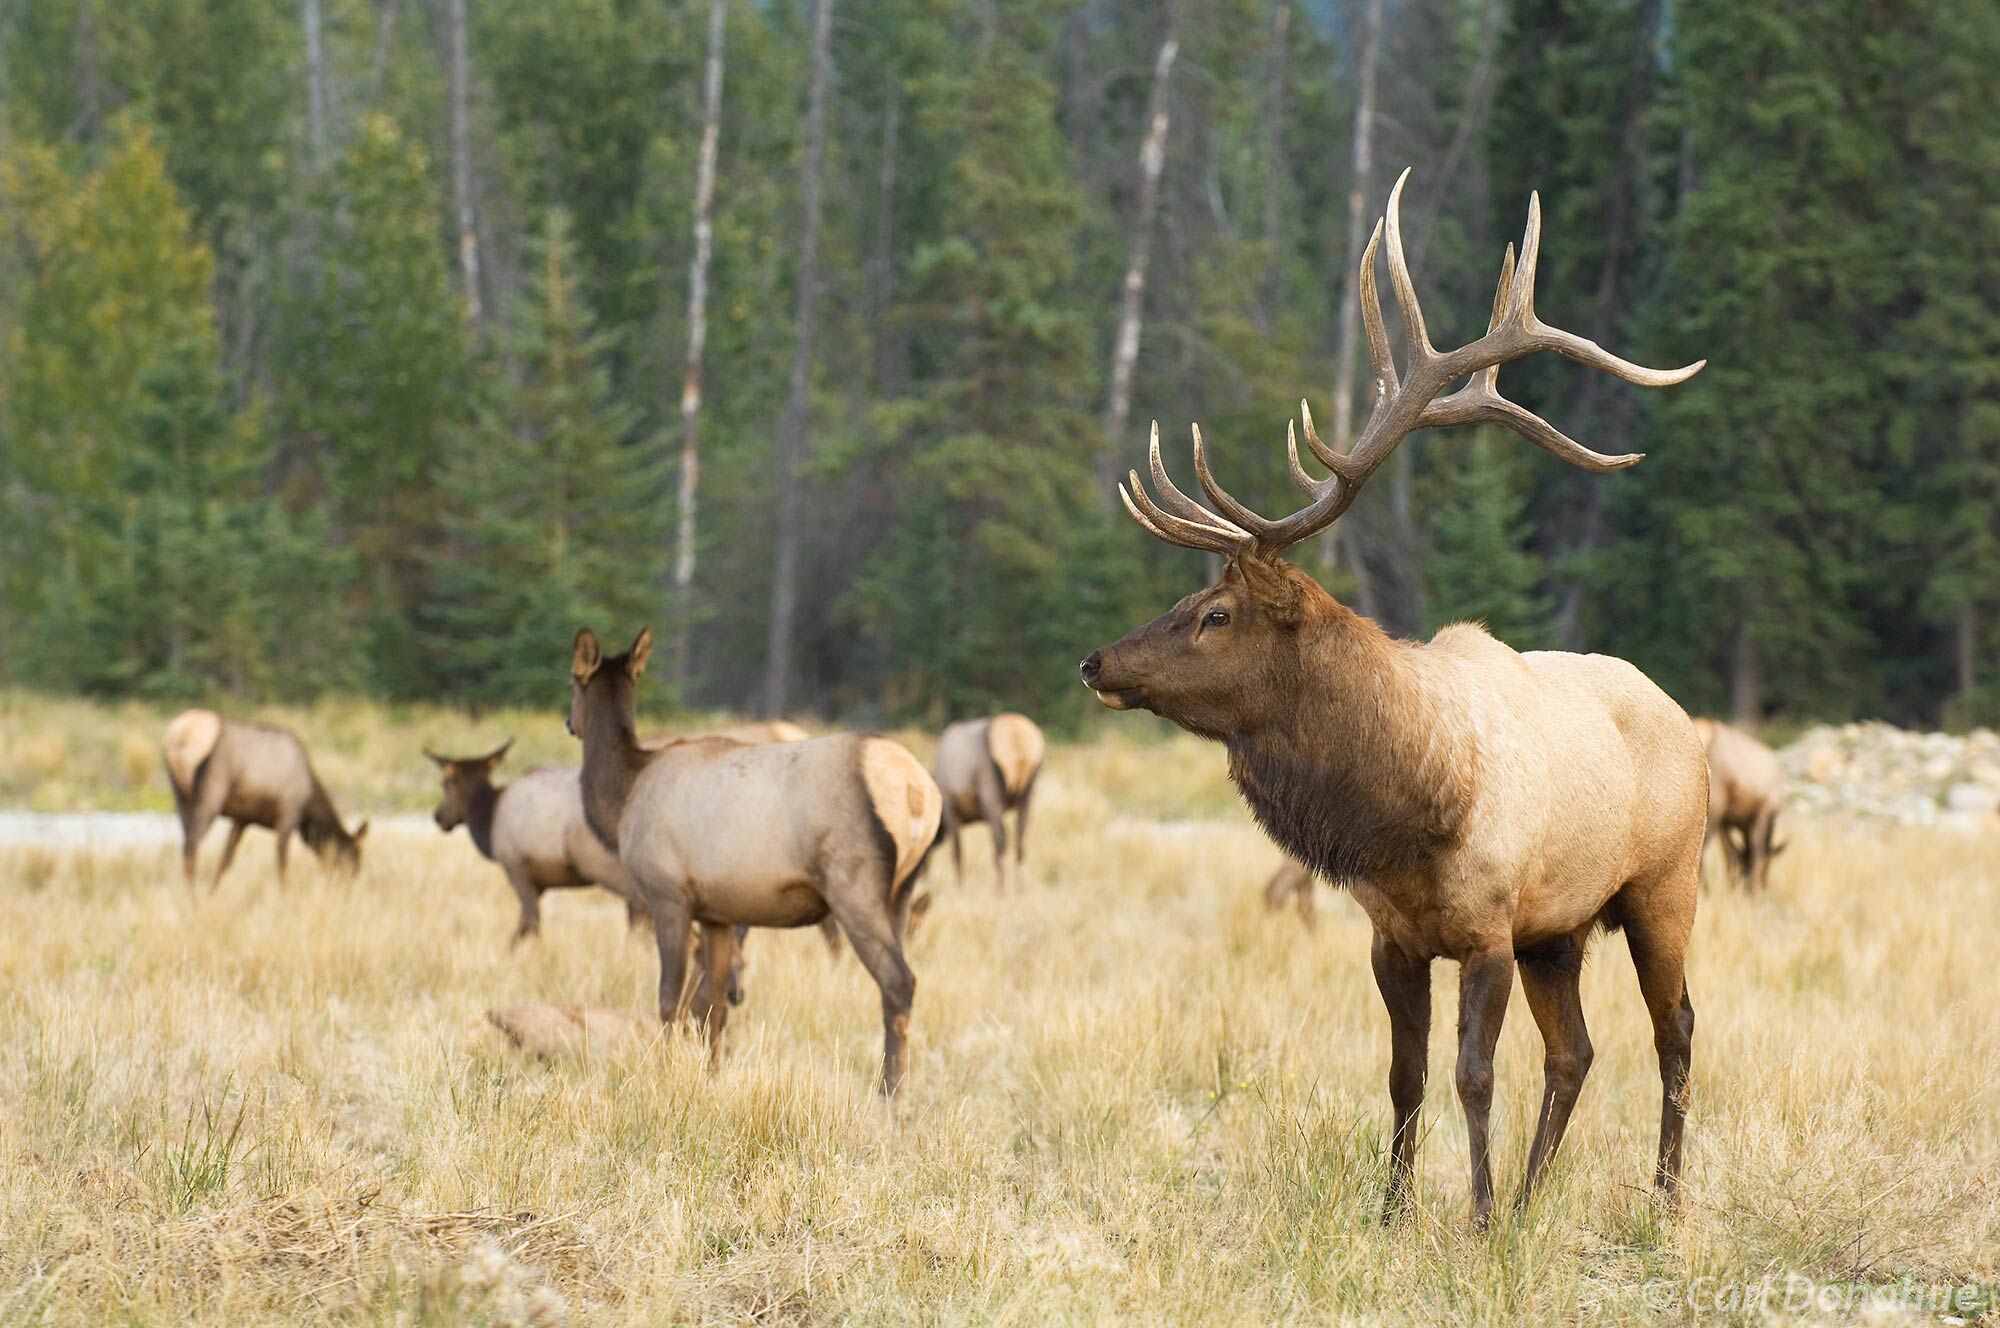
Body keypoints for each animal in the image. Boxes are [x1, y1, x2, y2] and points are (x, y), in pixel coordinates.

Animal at [162, 712, 370, 888]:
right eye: (353, 857)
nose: (350, 884)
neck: (308, 807)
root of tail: (178, 736)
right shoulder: (288, 813)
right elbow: (282, 864)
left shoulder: (242, 819)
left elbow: (226, 861)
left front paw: (212, 894)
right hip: (211, 791)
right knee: (191, 847)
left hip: (181, 796)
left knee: (186, 844)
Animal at [564, 628, 936, 1096]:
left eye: (571, 682)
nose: (569, 722)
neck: (623, 799)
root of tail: (917, 791)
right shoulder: (718, 913)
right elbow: (712, 1005)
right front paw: (711, 1076)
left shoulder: (668, 894)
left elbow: (670, 1000)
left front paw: (664, 1073)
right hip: (901, 891)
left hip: (854, 884)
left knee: (899, 982)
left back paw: (891, 1096)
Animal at [928, 716, 1048, 892]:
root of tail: (1019, 745)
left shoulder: (951, 808)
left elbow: (957, 852)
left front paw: (959, 886)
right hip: (1028, 793)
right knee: (1020, 841)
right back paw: (1019, 887)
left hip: (989, 791)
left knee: (1000, 840)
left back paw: (1000, 889)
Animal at [1088, 171, 1712, 1232]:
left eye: (1214, 613)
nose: (1097, 662)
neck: (1411, 806)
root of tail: (1685, 718)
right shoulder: (1395, 937)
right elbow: (1405, 1077)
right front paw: (1396, 1215)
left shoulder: (1492, 929)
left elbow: (1472, 1076)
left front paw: (1474, 1218)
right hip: (1562, 932)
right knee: (1577, 1051)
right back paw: (1536, 1199)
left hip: (1662, 885)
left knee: (1675, 1028)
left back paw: (1663, 1202)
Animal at [1696, 716, 1792, 892]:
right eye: (1768, 867)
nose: (1765, 885)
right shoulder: (1763, 810)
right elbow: (1757, 852)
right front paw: (1753, 890)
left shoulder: (1728, 820)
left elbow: (1731, 853)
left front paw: (1731, 886)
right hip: (1715, 804)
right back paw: (1704, 889)